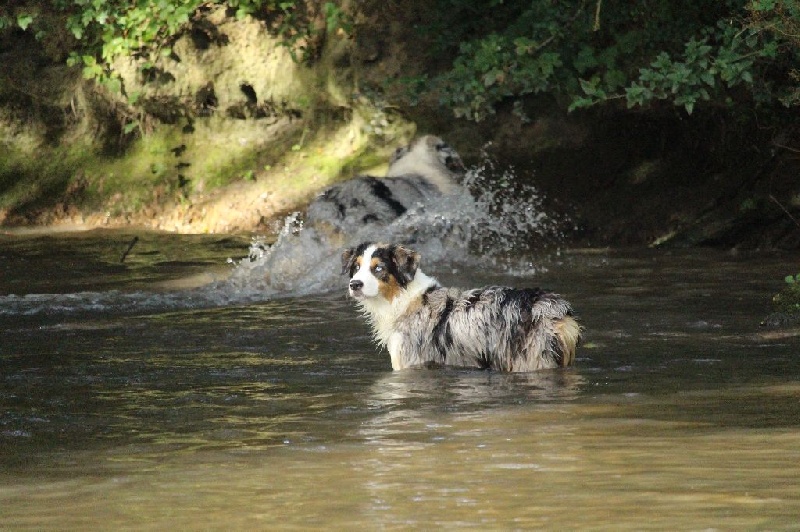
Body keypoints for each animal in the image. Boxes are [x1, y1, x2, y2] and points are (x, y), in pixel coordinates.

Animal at [340, 242, 580, 372]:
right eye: (356, 267)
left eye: (378, 268)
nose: (355, 284)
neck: (401, 298)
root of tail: (551, 307)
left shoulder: (408, 360)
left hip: (531, 358)